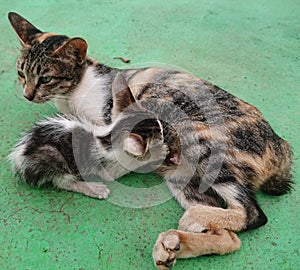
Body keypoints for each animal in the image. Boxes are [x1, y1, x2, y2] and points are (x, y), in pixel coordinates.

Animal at [8, 12, 292, 270]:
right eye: (21, 73)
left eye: (46, 78)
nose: (28, 94)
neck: (77, 90)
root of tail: (282, 147)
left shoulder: (113, 116)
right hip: (181, 177)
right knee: (231, 238)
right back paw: (174, 244)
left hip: (197, 140)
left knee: (252, 213)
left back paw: (190, 220)